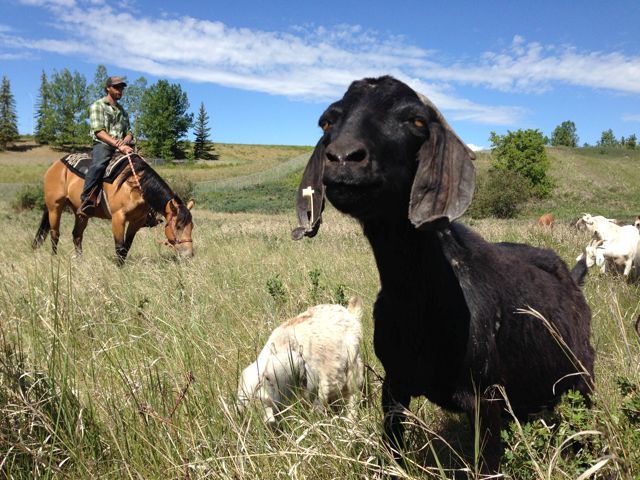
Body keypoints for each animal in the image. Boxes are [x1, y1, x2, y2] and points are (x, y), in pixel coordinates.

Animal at [292, 76, 595, 472]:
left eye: (416, 120)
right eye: (327, 121)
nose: (344, 158)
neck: (419, 296)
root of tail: (573, 278)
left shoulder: (485, 400)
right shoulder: (395, 384)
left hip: (582, 376)